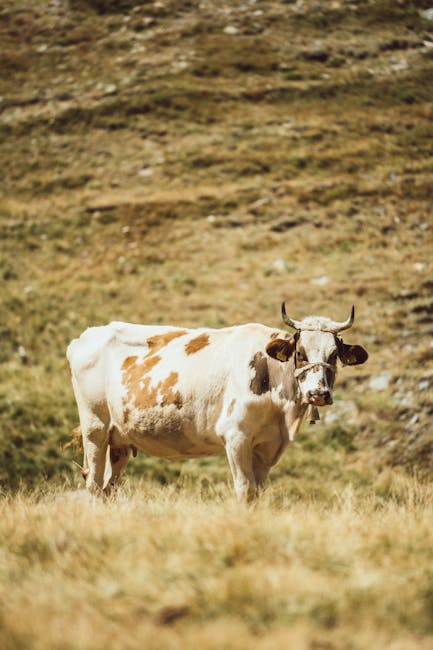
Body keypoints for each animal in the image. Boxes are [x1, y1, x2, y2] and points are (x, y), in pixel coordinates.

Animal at [66, 304, 364, 502]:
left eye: (334, 354)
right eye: (300, 353)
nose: (318, 393)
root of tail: (84, 337)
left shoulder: (268, 446)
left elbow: (258, 493)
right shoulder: (236, 436)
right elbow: (245, 490)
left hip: (118, 440)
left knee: (108, 487)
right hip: (95, 427)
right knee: (94, 483)